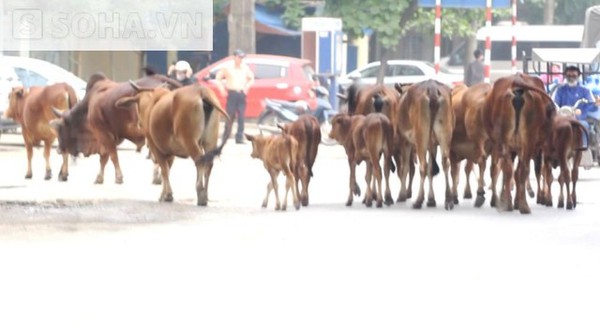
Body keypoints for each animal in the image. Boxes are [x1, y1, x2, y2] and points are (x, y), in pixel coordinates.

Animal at [396, 80, 452, 210]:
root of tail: (432, 90)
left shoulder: (405, 142)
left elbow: (404, 168)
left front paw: (401, 195)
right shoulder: (433, 145)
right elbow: (431, 169)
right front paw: (431, 199)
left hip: (421, 137)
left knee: (423, 166)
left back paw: (418, 200)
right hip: (444, 133)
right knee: (445, 163)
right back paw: (448, 199)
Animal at [480, 73, 556, 214]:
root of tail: (517, 81)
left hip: (507, 141)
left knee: (510, 169)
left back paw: (510, 203)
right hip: (526, 142)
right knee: (520, 170)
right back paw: (521, 205)